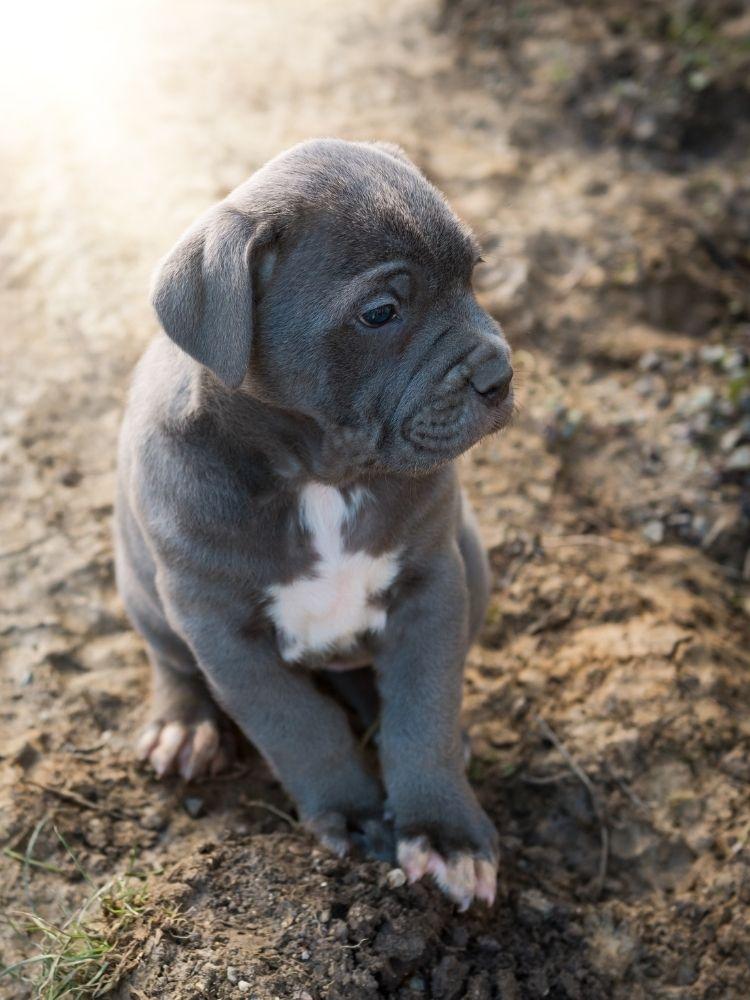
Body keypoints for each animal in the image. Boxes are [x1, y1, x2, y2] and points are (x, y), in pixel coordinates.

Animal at [116, 137, 516, 912]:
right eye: (381, 312)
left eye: (474, 275)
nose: (499, 375)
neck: (320, 477)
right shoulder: (222, 633)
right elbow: (299, 725)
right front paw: (355, 816)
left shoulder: (432, 586)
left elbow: (422, 712)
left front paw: (444, 833)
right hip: (140, 589)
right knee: (169, 659)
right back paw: (184, 726)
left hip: (474, 559)